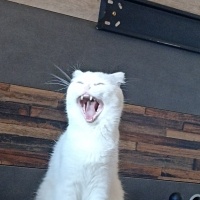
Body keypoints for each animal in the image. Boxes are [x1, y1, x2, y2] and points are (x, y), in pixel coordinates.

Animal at [35, 70, 124, 200]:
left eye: (99, 84)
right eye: (80, 82)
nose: (86, 86)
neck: (90, 135)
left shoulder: (100, 186)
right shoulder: (69, 185)